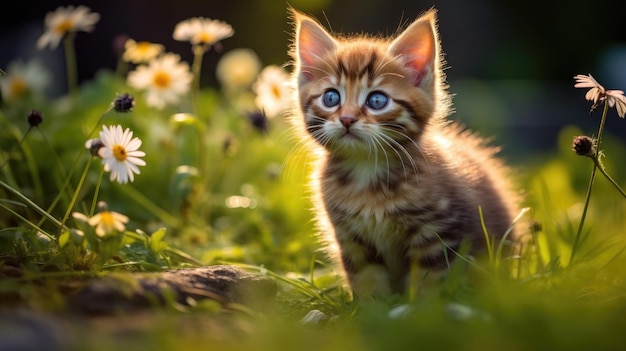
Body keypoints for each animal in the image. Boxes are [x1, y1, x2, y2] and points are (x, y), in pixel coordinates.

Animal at [288, 7, 520, 300]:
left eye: (377, 100)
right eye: (331, 98)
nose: (347, 119)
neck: (367, 175)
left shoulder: (437, 234)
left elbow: (430, 283)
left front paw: (420, 309)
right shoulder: (353, 241)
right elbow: (368, 281)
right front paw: (370, 309)